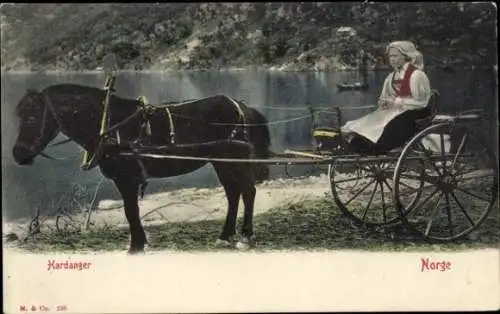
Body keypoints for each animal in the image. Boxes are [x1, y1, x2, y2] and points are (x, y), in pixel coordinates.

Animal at [11, 83, 272, 253]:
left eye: (32, 118)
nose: (17, 154)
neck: (111, 125)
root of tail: (240, 106)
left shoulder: (127, 179)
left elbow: (130, 211)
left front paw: (136, 245)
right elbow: (132, 212)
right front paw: (139, 243)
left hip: (234, 159)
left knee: (248, 192)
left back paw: (246, 235)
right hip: (222, 162)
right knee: (234, 194)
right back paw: (226, 235)